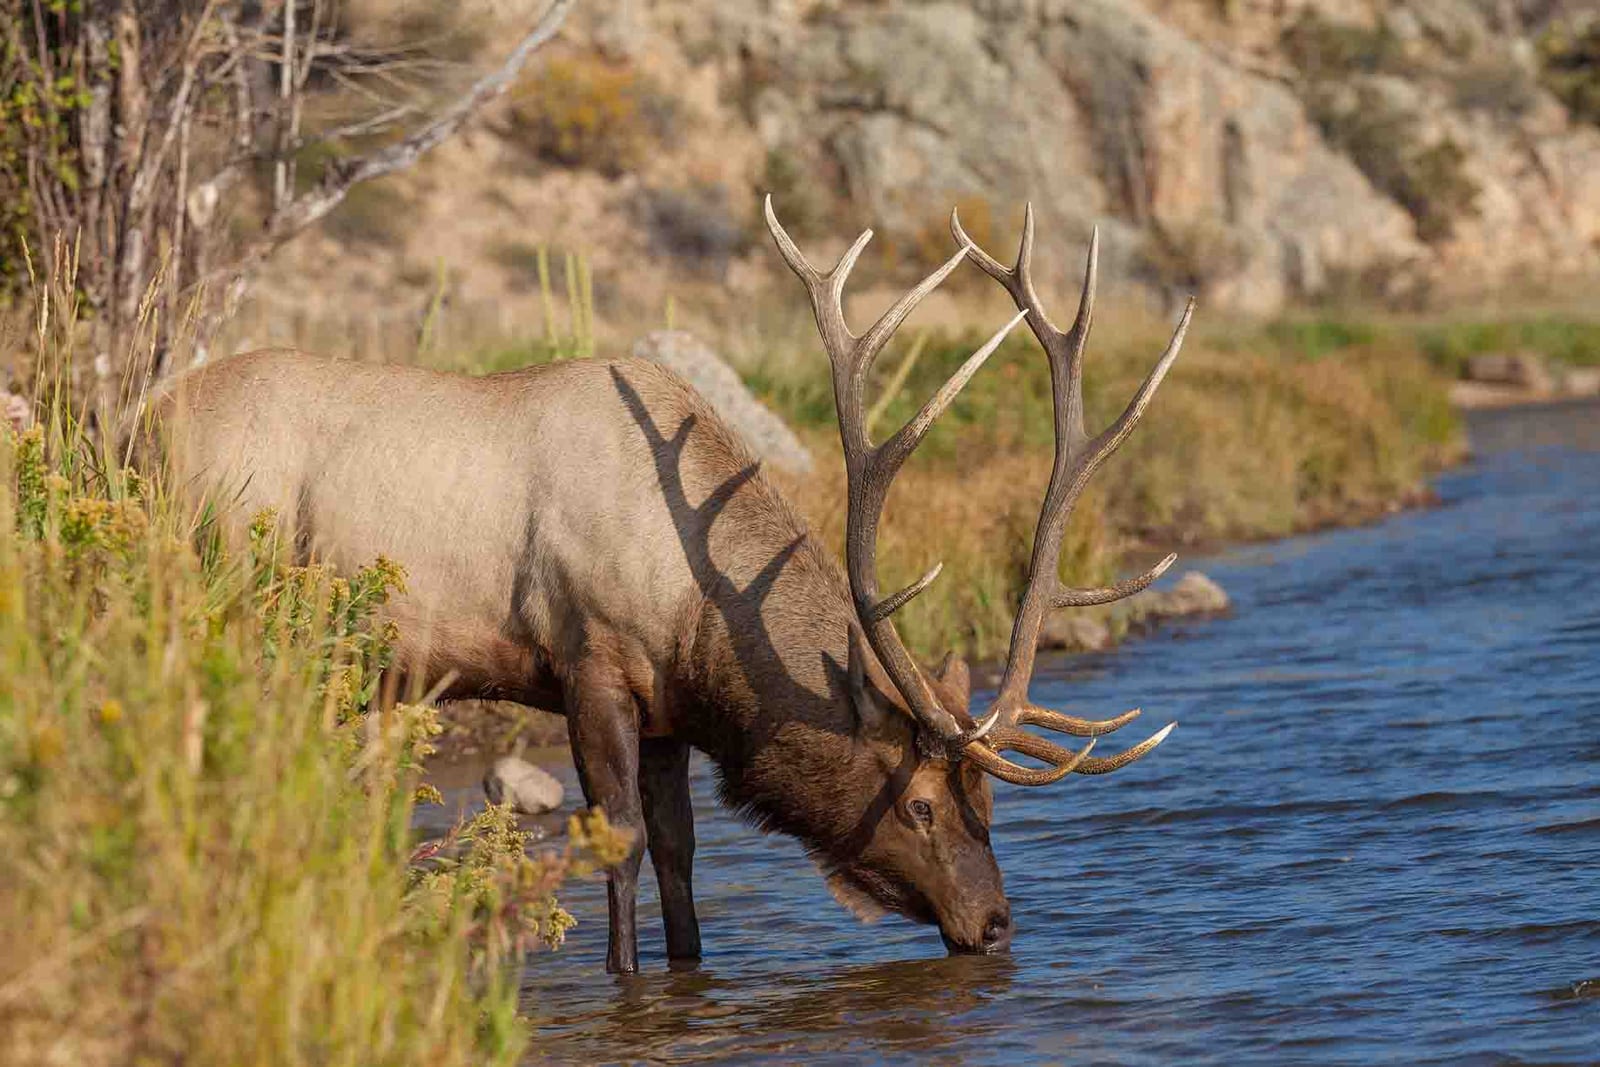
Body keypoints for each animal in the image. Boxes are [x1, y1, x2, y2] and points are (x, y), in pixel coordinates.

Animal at [156, 196, 1193, 974]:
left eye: (991, 802)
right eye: (921, 804)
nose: (996, 924)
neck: (697, 613)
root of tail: (132, 425)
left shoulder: (667, 711)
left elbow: (679, 855)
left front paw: (689, 969)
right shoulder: (591, 662)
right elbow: (615, 839)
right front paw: (624, 976)